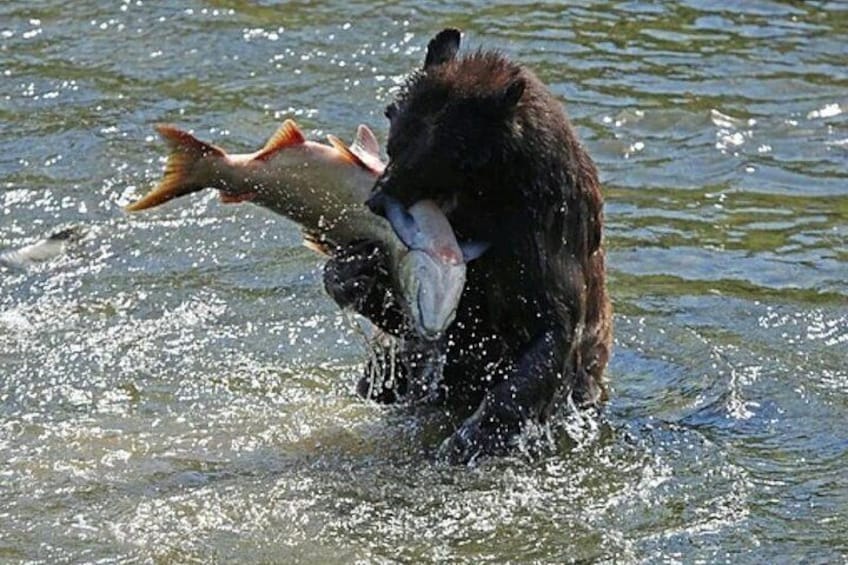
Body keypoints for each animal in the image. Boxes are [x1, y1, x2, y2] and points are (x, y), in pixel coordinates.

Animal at [322, 29, 608, 462]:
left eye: (443, 149)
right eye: (394, 128)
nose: (375, 199)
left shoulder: (545, 237)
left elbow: (550, 332)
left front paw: (471, 438)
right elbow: (417, 318)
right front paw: (351, 270)